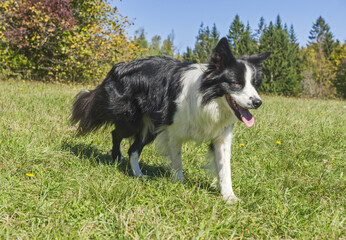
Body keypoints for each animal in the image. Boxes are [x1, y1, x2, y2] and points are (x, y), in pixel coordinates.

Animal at [70, 37, 270, 202]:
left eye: (254, 84)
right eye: (236, 83)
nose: (258, 102)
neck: (208, 99)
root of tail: (119, 67)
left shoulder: (221, 137)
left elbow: (224, 168)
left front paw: (229, 196)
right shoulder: (174, 132)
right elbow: (177, 160)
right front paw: (179, 183)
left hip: (150, 127)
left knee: (133, 149)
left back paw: (139, 174)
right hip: (131, 120)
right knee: (116, 134)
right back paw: (116, 158)